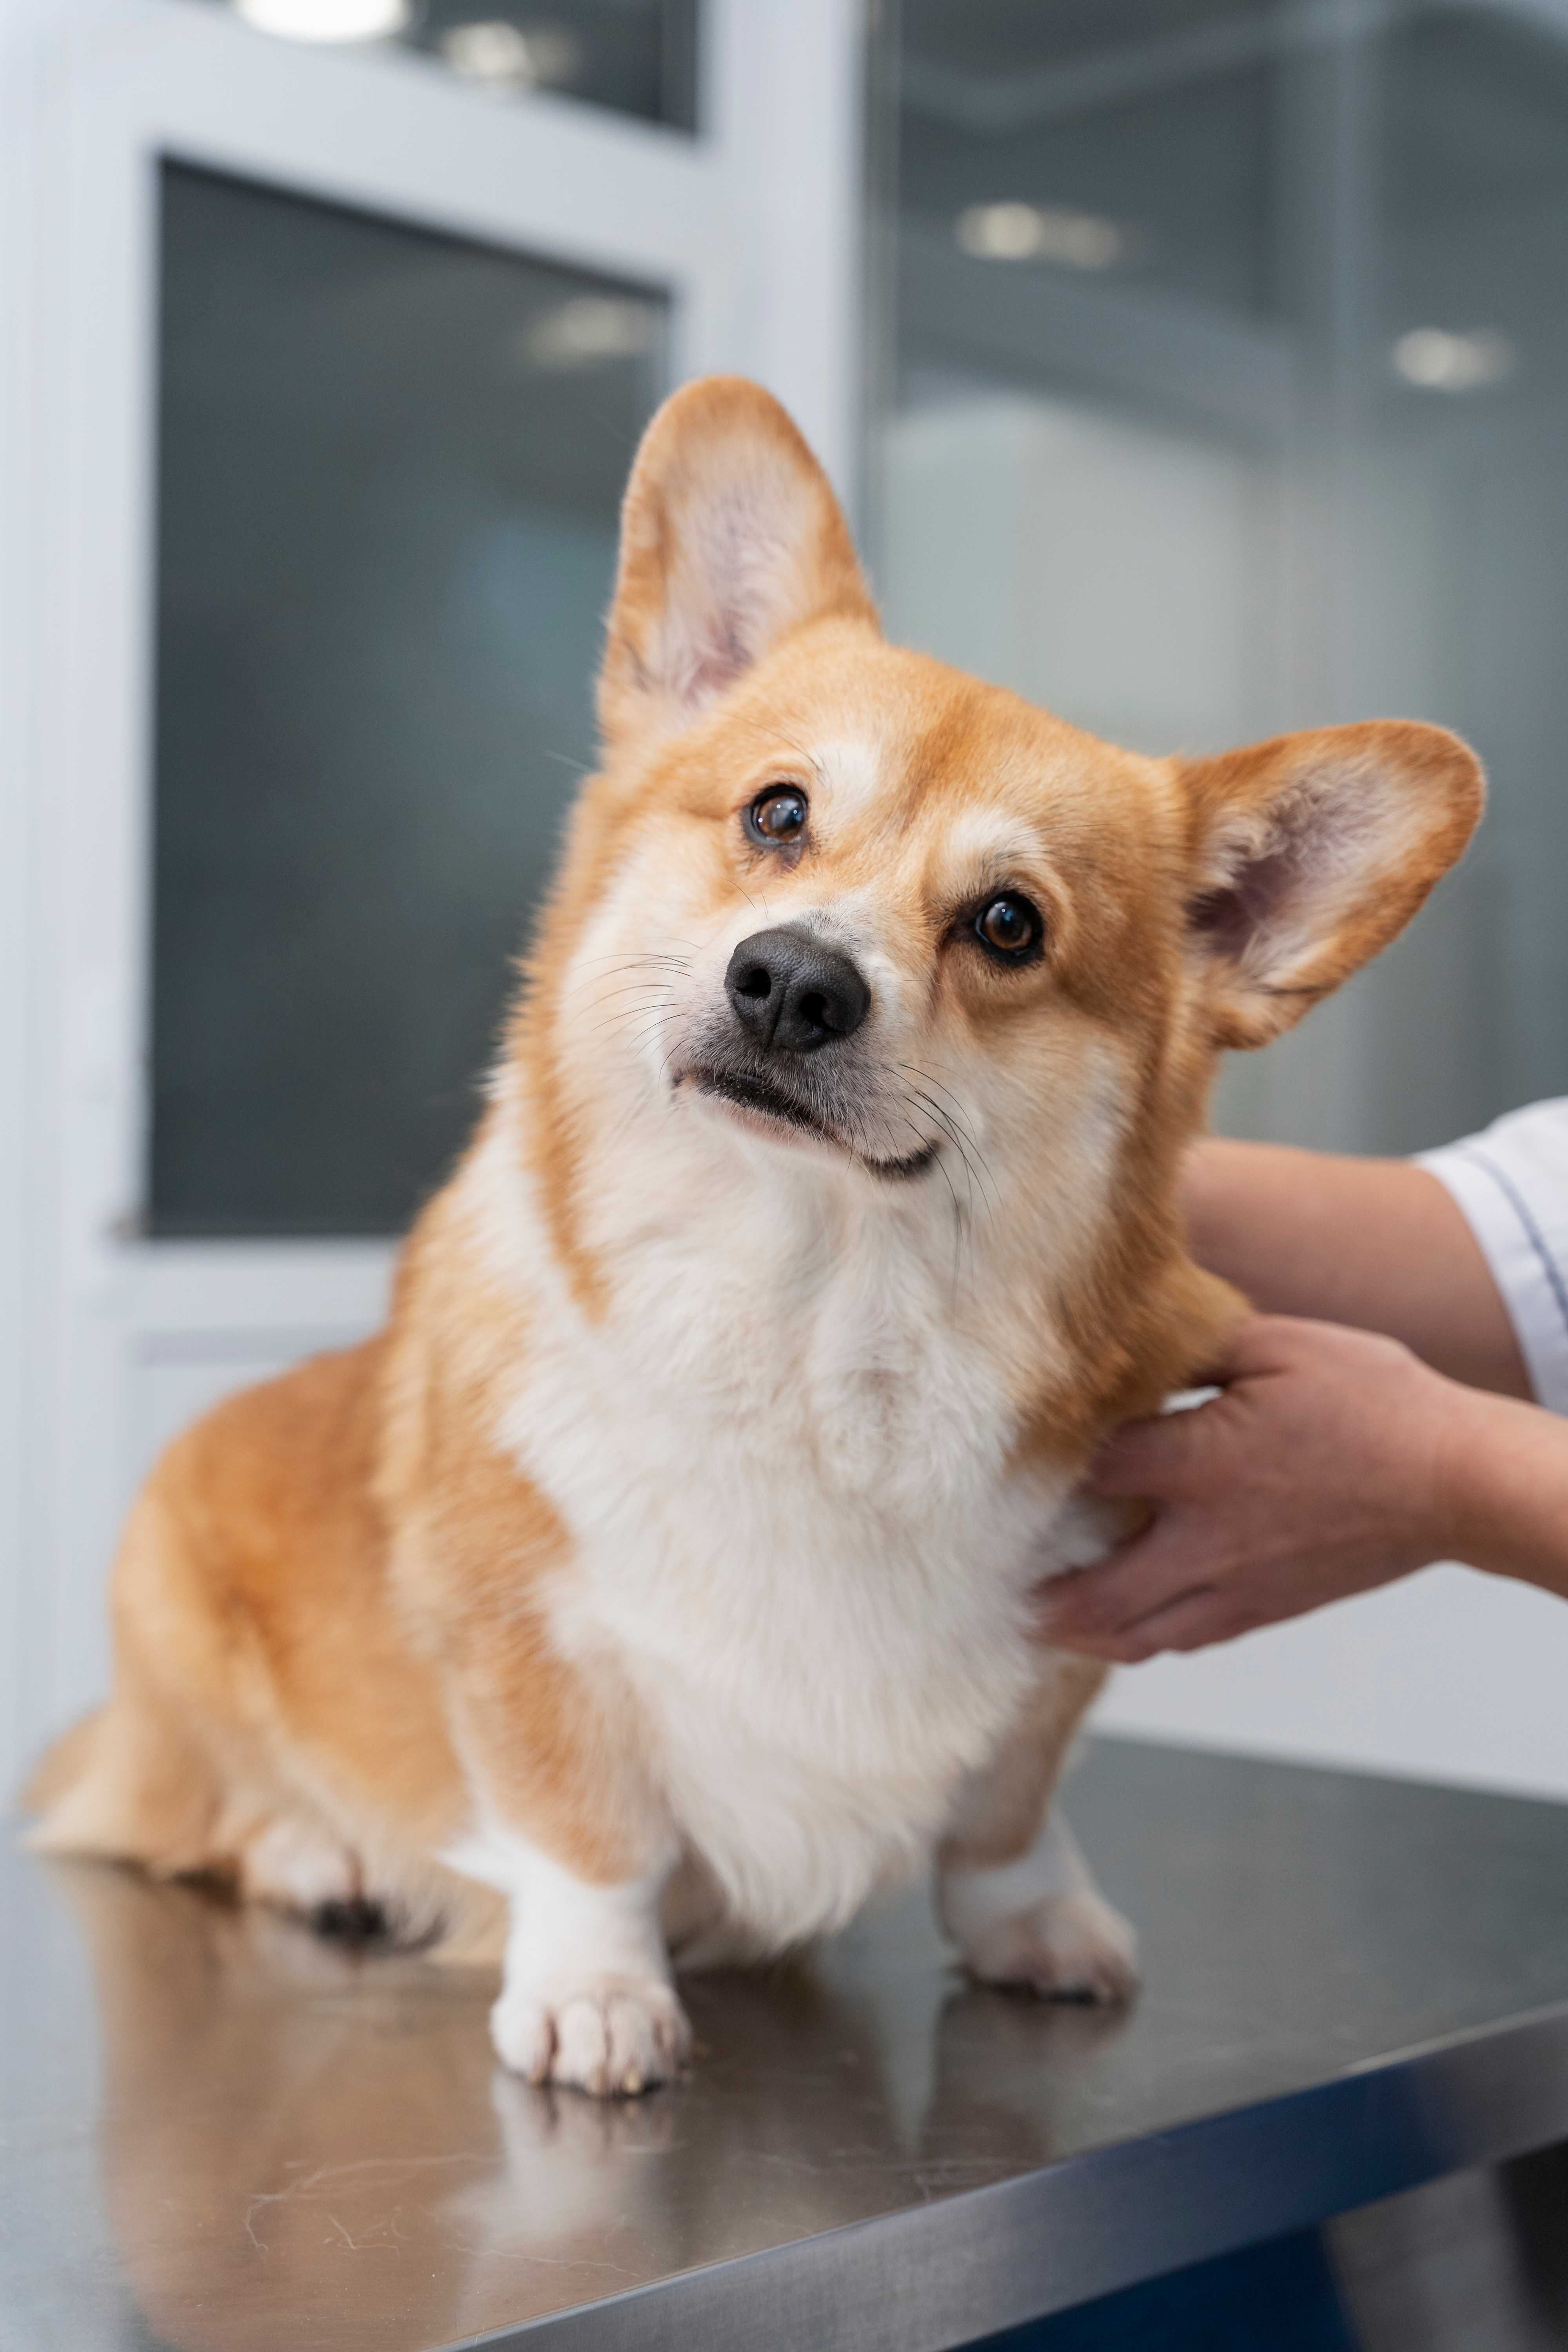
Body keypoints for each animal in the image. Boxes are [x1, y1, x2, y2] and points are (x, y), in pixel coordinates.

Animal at [24, 381, 1486, 2098]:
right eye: (777, 815)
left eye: (1009, 925)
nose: (791, 982)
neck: (810, 1311)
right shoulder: (527, 1637)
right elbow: (584, 1831)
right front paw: (595, 1997)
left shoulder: (1067, 1635)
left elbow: (1006, 1815)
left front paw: (1037, 1927)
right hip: (168, 1621)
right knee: (188, 1811)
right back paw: (322, 1860)